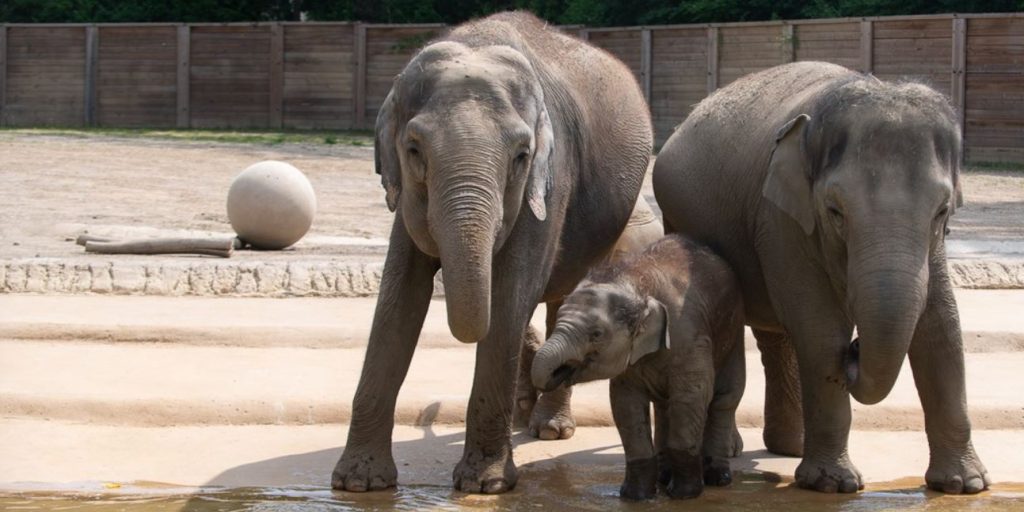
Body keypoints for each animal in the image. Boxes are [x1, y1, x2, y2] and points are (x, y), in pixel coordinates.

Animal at [331, 11, 653, 494]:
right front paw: (358, 483)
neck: (476, 44)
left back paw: (549, 430)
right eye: (413, 150)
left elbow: (508, 298)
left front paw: (486, 485)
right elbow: (398, 297)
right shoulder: (406, 196)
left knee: (559, 295)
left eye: (521, 154)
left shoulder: (550, 177)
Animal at [531, 234, 745, 501]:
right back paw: (664, 477)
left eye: (596, 334)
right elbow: (626, 404)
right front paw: (635, 496)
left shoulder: (689, 337)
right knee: (664, 407)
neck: (636, 281)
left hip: (734, 333)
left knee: (724, 400)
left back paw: (718, 479)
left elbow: (690, 399)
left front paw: (684, 495)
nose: (559, 371)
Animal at [652, 61, 989, 494]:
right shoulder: (782, 217)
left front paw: (966, 484)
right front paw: (833, 484)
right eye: (834, 211)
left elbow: (941, 327)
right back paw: (735, 450)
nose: (857, 348)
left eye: (942, 210)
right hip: (680, 219)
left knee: (776, 335)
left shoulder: (932, 246)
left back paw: (789, 446)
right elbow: (820, 329)